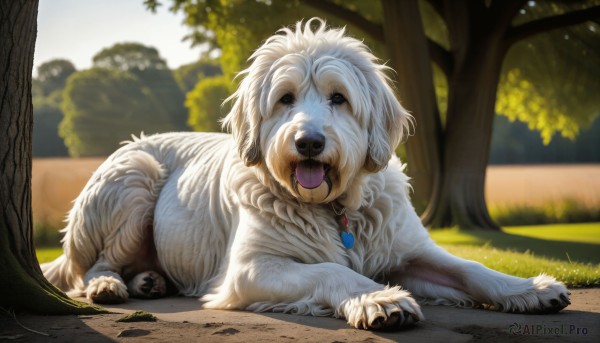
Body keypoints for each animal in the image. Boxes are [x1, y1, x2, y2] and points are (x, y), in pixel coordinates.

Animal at [43, 18, 572, 330]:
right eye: (285, 98)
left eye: (339, 98)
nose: (309, 143)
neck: (336, 208)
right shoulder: (252, 268)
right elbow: (333, 269)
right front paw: (379, 300)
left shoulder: (410, 251)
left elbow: (470, 269)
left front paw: (530, 289)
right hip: (134, 175)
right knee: (90, 264)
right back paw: (109, 285)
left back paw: (149, 281)